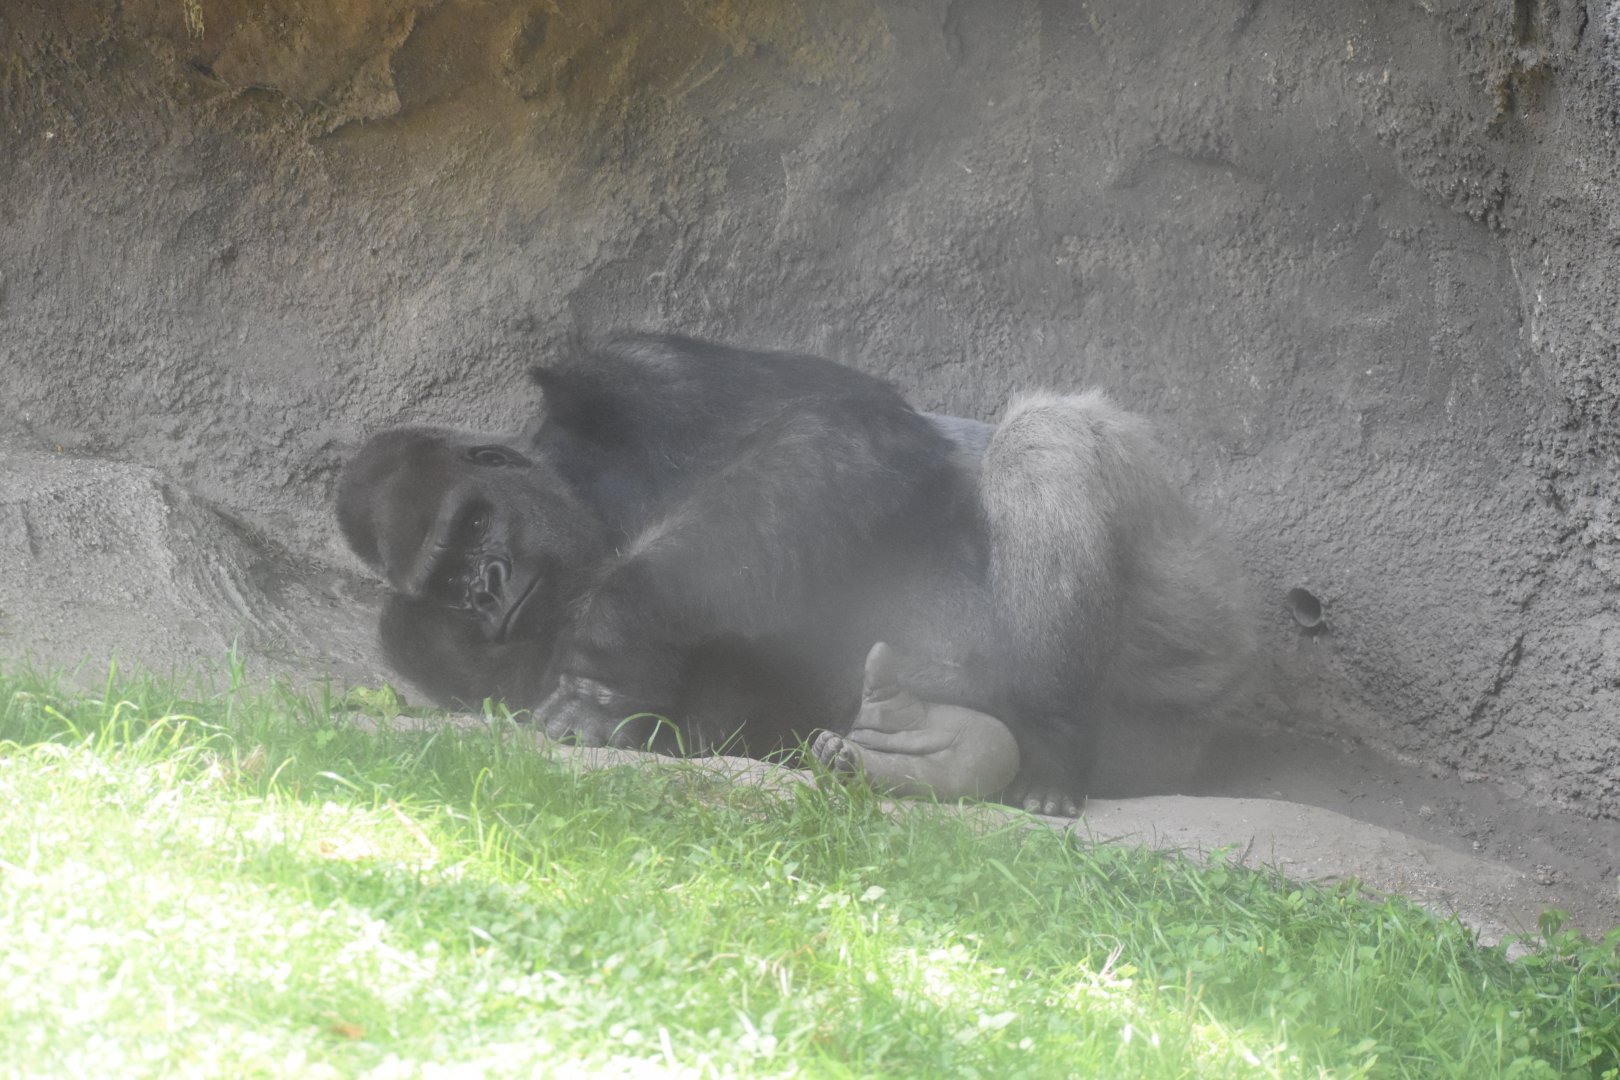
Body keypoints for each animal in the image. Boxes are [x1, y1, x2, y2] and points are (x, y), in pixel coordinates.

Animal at [337, 333, 1255, 814]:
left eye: (473, 525)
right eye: (450, 577)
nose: (487, 585)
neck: (580, 490)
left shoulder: (625, 369)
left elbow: (839, 427)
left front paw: (610, 640)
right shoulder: (422, 647)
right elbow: (700, 719)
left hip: (1198, 646)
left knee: (1048, 432)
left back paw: (1057, 757)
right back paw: (912, 749)